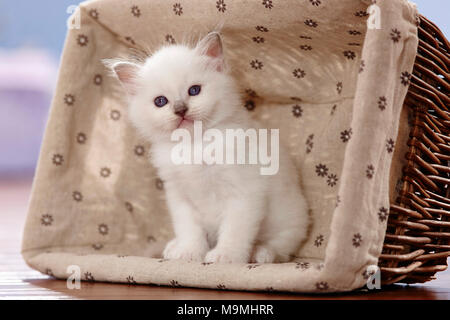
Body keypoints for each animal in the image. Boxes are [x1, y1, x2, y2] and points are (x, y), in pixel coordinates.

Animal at [105, 31, 310, 262]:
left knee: (282, 246)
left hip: (290, 218)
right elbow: (189, 230)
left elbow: (235, 231)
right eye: (160, 101)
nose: (180, 109)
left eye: (194, 90)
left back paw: (261, 253)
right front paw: (189, 252)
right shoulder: (179, 197)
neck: (194, 145)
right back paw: (174, 247)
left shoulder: (245, 192)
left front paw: (225, 256)